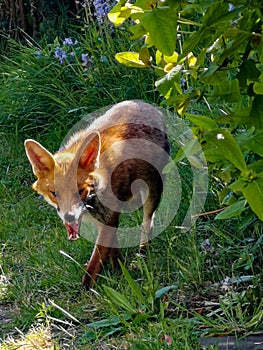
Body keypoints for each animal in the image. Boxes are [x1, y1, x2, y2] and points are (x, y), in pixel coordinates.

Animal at [24, 99, 171, 290]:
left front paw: (86, 290)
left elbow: (94, 264)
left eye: (80, 191)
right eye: (55, 193)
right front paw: (118, 269)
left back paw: (143, 253)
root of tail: (144, 103)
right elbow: (111, 249)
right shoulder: (105, 221)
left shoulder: (108, 218)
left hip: (152, 192)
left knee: (148, 222)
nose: (69, 217)